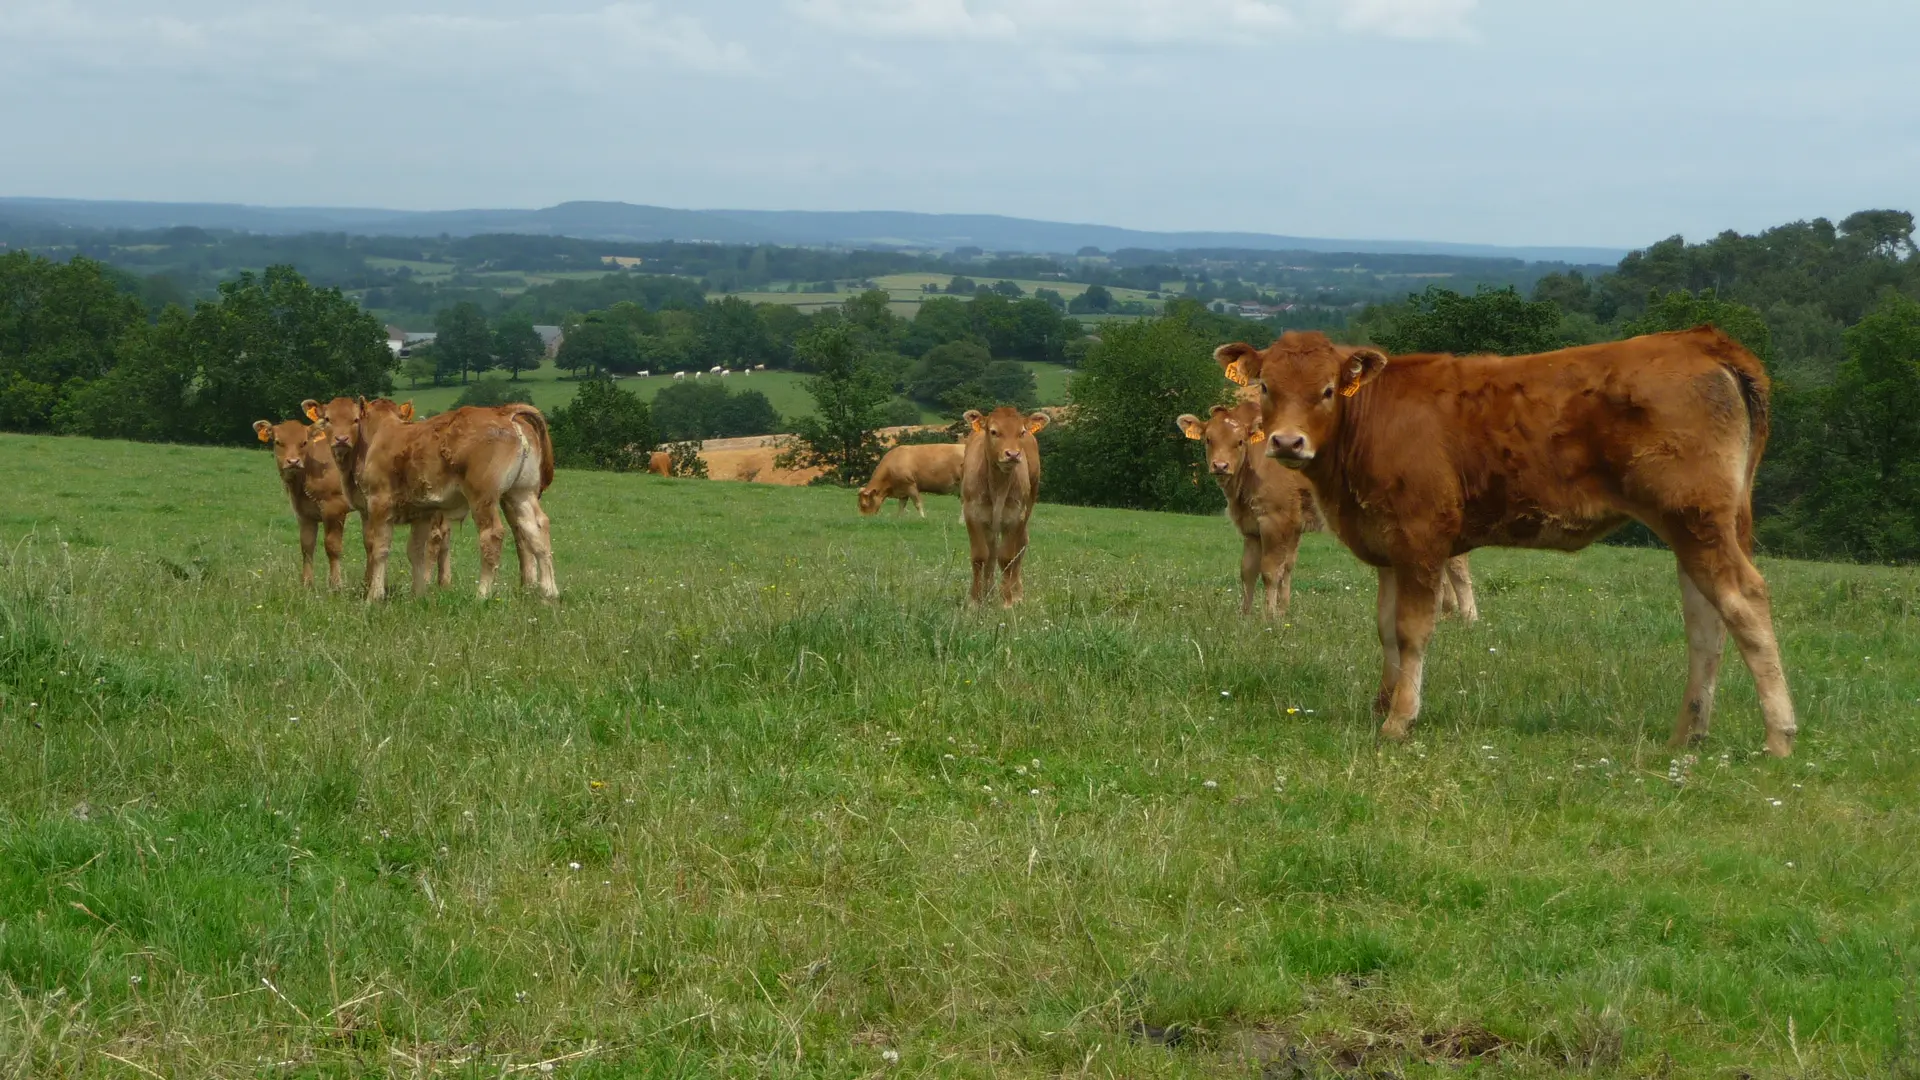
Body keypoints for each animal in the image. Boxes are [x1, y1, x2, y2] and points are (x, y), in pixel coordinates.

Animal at [301, 395, 556, 595]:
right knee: (536, 529)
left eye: (355, 419)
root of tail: (504, 413)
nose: (341, 439)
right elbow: (416, 552)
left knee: (492, 535)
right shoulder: (421, 512)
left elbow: (379, 549)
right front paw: (419, 594)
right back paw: (549, 593)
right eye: (327, 419)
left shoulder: (379, 504)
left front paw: (374, 595)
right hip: (521, 493)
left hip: (484, 498)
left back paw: (482, 594)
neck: (377, 437)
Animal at [960, 403, 1052, 607]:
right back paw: (988, 592)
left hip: (1028, 506)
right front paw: (975, 600)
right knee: (991, 552)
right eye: (994, 431)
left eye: (1021, 432)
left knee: (1021, 545)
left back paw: (1015, 593)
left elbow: (1007, 557)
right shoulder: (972, 513)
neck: (998, 486)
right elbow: (980, 556)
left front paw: (1007, 600)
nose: (1013, 454)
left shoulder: (1016, 516)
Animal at [1213, 322, 1797, 753]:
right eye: (1265, 387)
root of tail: (1697, 339)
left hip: (1696, 519)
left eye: (1328, 390)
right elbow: (1384, 630)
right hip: (1695, 528)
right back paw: (1687, 735)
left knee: (1744, 600)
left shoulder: (1422, 537)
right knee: (1706, 620)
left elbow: (1412, 630)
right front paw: (1382, 702)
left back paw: (1779, 736)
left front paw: (1400, 719)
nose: (1286, 442)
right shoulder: (1388, 545)